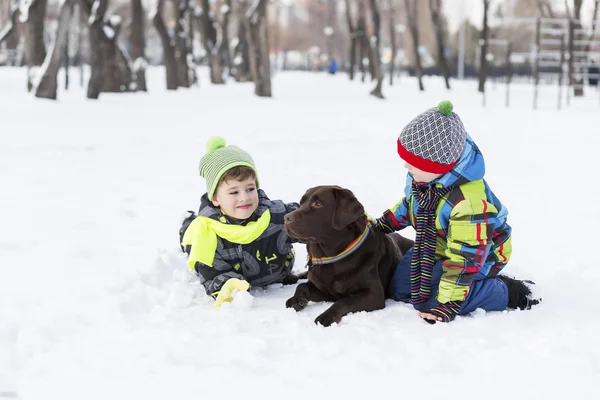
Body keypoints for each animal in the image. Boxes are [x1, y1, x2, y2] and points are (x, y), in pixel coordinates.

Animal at [284, 186, 414, 326]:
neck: (331, 257)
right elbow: (302, 286)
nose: (286, 218)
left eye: (317, 204)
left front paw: (326, 316)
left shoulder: (374, 294)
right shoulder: (325, 291)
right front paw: (296, 300)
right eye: (301, 203)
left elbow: (344, 300)